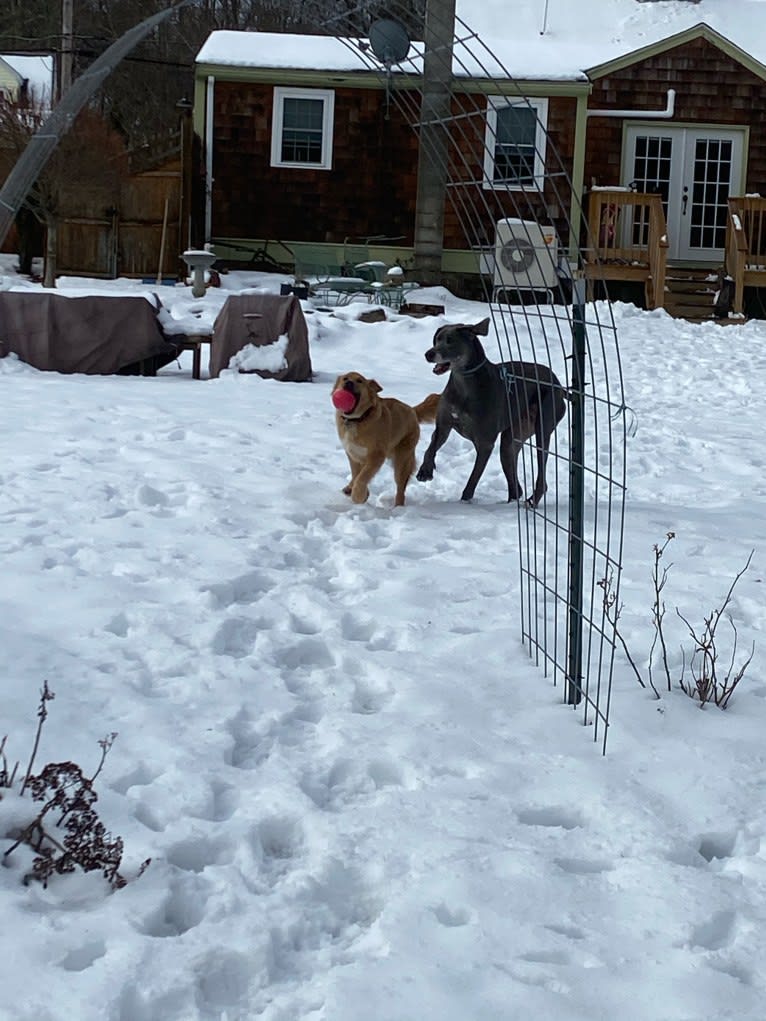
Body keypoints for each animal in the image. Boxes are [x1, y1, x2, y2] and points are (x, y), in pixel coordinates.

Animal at [332, 371, 441, 506]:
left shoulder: (376, 456)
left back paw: (398, 507)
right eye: (345, 378)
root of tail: (412, 410)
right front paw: (361, 492)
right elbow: (356, 474)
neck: (358, 419)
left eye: (359, 381)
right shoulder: (353, 454)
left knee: (401, 488)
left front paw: (358, 495)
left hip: (402, 460)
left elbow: (362, 477)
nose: (348, 383)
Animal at [414, 316, 571, 504]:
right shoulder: (444, 425)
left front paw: (464, 502)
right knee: (515, 482)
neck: (463, 383)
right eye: (437, 339)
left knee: (541, 474)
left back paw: (532, 501)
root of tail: (559, 385)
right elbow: (431, 446)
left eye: (450, 341)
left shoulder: (485, 442)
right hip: (512, 438)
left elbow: (473, 478)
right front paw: (425, 470)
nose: (428, 354)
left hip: (543, 427)